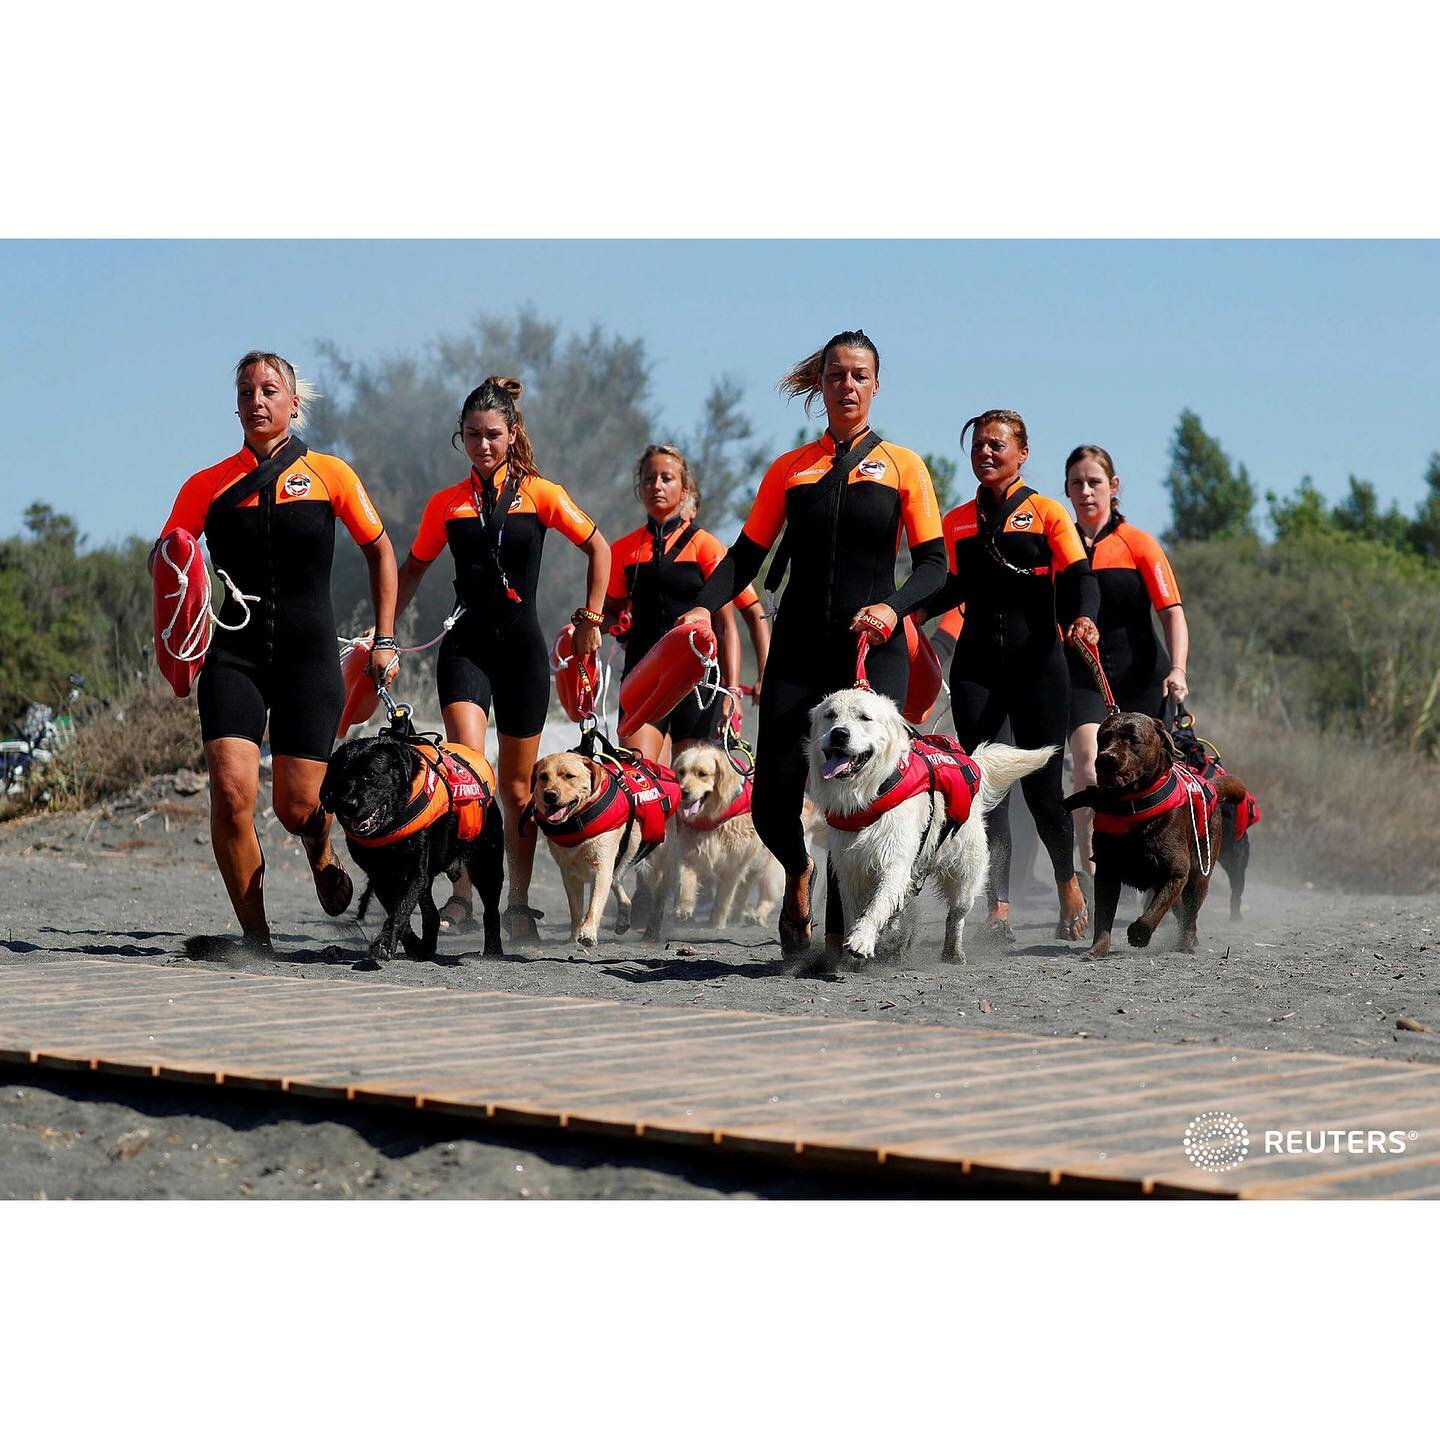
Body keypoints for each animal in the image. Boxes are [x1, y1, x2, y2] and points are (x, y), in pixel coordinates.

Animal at [322, 731, 506, 967]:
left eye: (370, 775)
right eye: (341, 777)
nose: (348, 804)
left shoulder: (413, 872)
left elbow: (401, 908)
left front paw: (385, 943)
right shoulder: (381, 876)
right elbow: (398, 909)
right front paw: (411, 946)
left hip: (486, 865)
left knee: (491, 910)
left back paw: (493, 950)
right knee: (432, 914)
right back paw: (427, 947)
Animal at [812, 688, 1059, 967]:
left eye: (865, 717)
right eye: (830, 715)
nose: (839, 733)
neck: (870, 794)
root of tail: (971, 764)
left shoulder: (894, 862)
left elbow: (877, 904)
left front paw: (861, 939)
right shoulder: (849, 869)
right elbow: (856, 908)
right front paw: (855, 948)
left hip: (965, 874)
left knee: (956, 915)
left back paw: (953, 952)